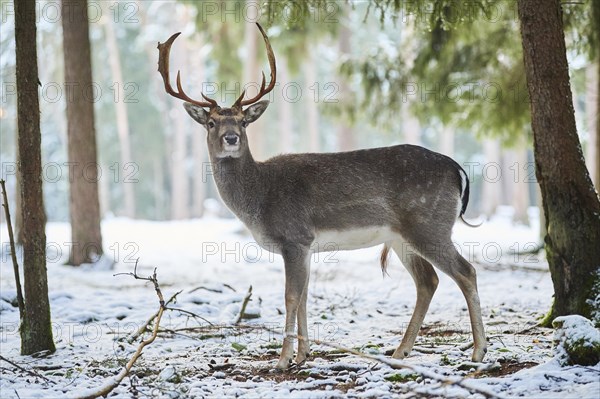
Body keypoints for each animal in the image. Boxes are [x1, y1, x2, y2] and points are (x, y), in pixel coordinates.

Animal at [157, 23, 486, 370]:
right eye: (211, 122)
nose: (231, 138)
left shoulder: (294, 237)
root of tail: (457, 170)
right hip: (401, 236)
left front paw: (282, 360)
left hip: (429, 223)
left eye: (244, 121)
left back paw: (478, 350)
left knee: (466, 271)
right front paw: (303, 355)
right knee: (428, 281)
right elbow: (304, 296)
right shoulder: (307, 246)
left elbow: (290, 296)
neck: (258, 198)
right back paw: (400, 351)